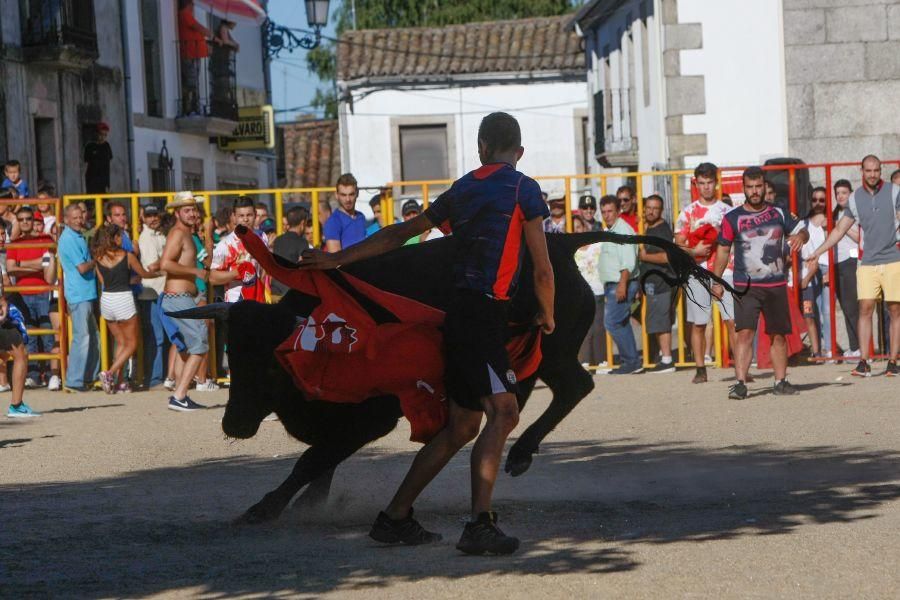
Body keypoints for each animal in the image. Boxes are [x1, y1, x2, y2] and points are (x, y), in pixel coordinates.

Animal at [171, 230, 732, 520]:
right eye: (235, 355)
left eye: (268, 362)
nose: (235, 424)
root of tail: (562, 241)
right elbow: (320, 461)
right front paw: (310, 503)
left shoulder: (370, 418)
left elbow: (313, 459)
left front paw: (265, 508)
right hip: (540, 356)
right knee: (556, 389)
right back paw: (513, 451)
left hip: (549, 351)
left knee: (572, 386)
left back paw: (520, 453)